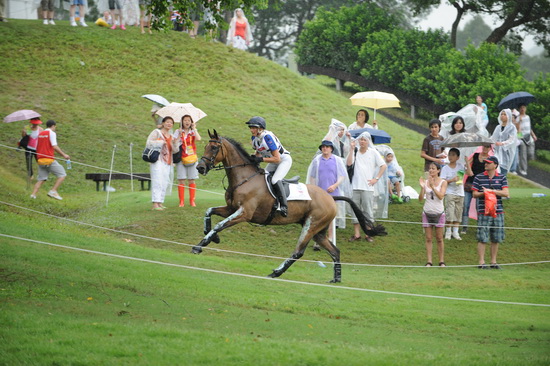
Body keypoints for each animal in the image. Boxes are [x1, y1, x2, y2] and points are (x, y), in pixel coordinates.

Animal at [194, 129, 388, 284]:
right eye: (206, 146)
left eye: (214, 148)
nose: (200, 167)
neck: (244, 179)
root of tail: (330, 197)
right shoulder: (231, 209)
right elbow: (209, 212)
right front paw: (212, 237)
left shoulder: (244, 213)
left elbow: (220, 224)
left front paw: (200, 245)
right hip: (318, 231)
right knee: (335, 251)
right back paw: (336, 278)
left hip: (311, 226)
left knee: (298, 252)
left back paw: (275, 272)